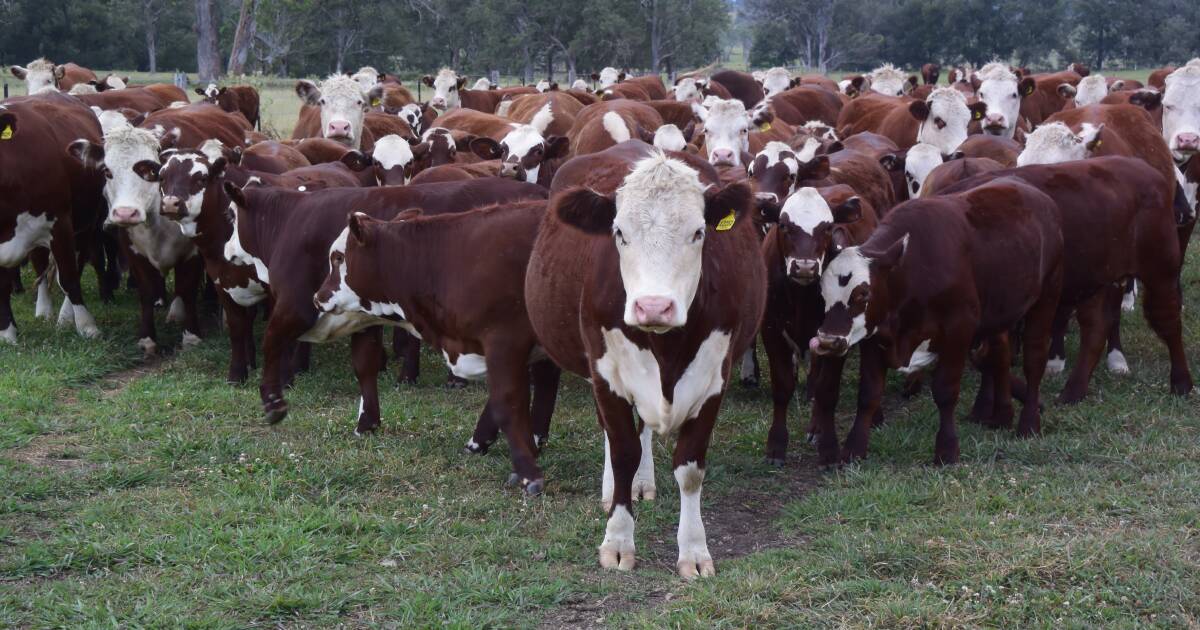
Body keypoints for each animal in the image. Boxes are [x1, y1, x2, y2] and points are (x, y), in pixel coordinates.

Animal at [223, 178, 548, 431]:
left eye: (231, 217)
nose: (225, 250)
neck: (289, 222)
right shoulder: (360, 316)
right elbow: (364, 364)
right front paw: (368, 421)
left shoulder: (295, 307)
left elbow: (271, 343)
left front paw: (272, 402)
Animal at [315, 200, 561, 493]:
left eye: (338, 258)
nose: (318, 298)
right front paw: (487, 443)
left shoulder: (505, 340)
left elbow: (507, 401)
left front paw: (527, 471)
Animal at [527, 149, 766, 578]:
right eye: (619, 233)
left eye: (698, 233)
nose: (653, 306)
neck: (666, 345)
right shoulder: (606, 372)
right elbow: (623, 452)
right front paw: (618, 540)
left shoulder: (713, 379)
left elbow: (689, 468)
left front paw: (693, 550)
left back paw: (643, 483)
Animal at [757, 186, 878, 464]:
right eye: (783, 225)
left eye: (827, 227)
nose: (805, 266)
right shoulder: (771, 331)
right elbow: (783, 387)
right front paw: (776, 446)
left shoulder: (837, 336)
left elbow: (827, 391)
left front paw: (829, 449)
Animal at [811, 179, 1064, 464]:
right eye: (822, 292)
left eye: (862, 293)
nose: (828, 340)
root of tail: (1038, 196)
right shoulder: (875, 335)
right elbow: (869, 394)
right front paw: (854, 449)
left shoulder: (958, 329)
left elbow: (945, 390)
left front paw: (947, 449)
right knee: (999, 355)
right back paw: (1001, 415)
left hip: (1047, 296)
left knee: (1034, 360)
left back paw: (1029, 423)